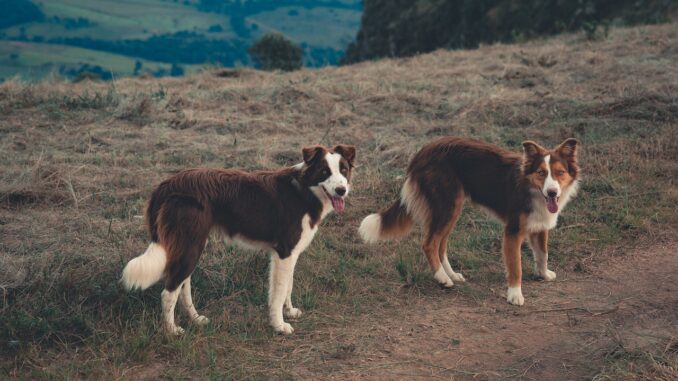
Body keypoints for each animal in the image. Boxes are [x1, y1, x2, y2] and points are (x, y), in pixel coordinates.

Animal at [121, 144, 356, 334]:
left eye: (343, 170)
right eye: (324, 172)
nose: (341, 190)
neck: (304, 190)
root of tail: (167, 184)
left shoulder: (290, 253)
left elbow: (287, 286)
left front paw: (289, 312)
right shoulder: (285, 252)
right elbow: (279, 291)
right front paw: (279, 325)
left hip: (190, 244)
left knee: (182, 286)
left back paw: (195, 319)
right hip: (190, 245)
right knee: (169, 292)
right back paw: (172, 331)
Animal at [362, 135, 580, 304]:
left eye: (560, 173)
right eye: (542, 173)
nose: (552, 192)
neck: (530, 187)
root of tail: (422, 152)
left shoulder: (540, 224)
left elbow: (543, 253)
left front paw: (544, 274)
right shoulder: (513, 230)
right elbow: (516, 266)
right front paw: (514, 295)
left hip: (452, 209)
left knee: (441, 245)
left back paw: (451, 274)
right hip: (447, 206)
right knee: (429, 244)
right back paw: (442, 278)